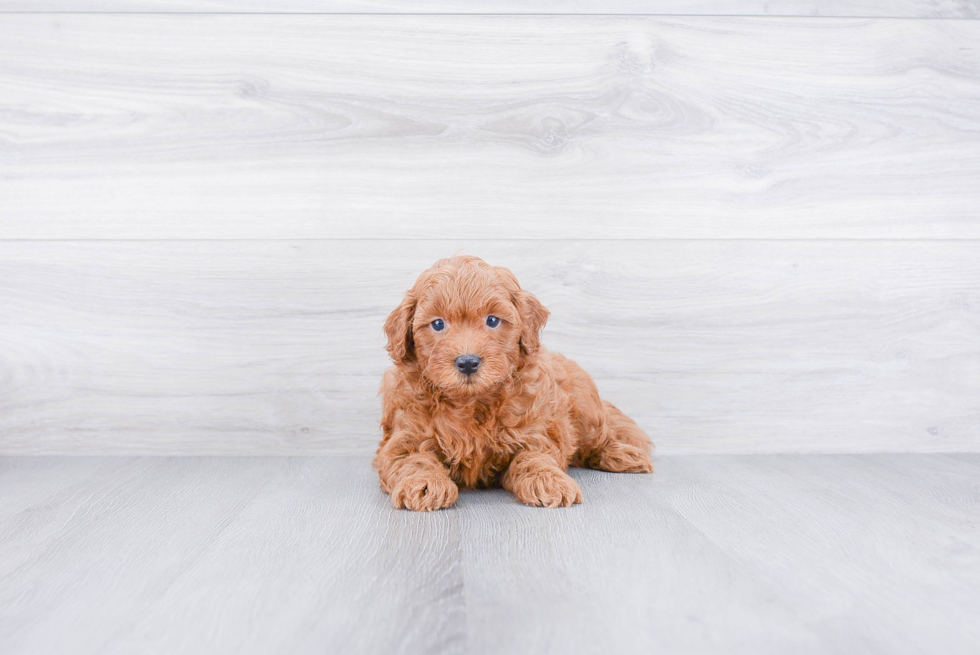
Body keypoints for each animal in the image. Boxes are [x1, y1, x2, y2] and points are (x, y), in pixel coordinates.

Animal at [374, 256, 652, 512]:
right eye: (438, 324)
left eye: (492, 321)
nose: (467, 362)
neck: (471, 403)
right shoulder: (403, 439)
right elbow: (414, 460)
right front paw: (424, 484)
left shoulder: (535, 433)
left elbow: (534, 458)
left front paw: (548, 481)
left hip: (586, 408)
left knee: (601, 437)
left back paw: (622, 454)